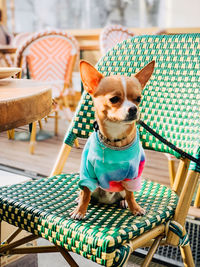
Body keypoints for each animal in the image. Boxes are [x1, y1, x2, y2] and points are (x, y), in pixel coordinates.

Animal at [71, 60, 155, 220]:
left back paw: (123, 202)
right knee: (86, 192)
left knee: (125, 194)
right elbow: (86, 194)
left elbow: (130, 194)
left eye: (138, 99)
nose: (134, 109)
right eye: (114, 99)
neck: (115, 138)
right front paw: (80, 211)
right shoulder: (87, 172)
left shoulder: (132, 176)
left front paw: (135, 207)